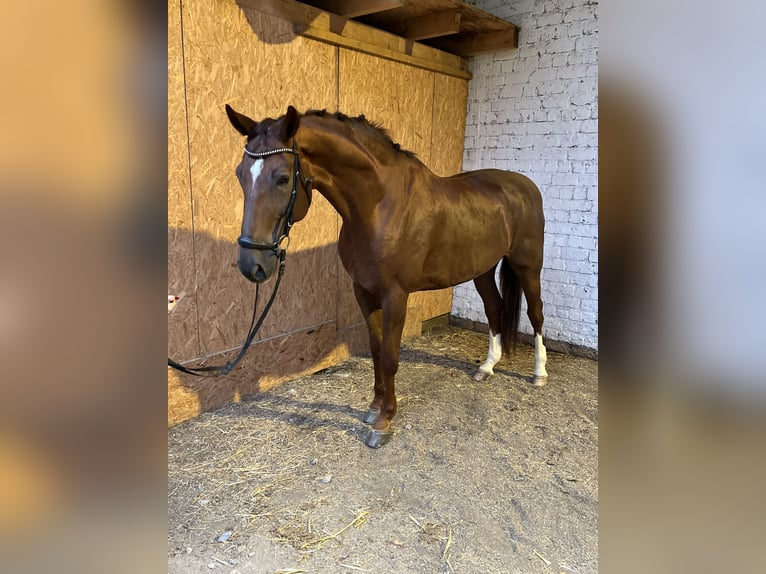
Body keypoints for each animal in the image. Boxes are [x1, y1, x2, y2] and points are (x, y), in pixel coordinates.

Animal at [225, 107, 548, 450]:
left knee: (536, 313)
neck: (379, 207)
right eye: (240, 175)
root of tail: (524, 184)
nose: (251, 264)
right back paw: (486, 367)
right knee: (494, 308)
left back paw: (539, 373)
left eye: (282, 178)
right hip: (482, 268)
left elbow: (391, 356)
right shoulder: (363, 291)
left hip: (528, 265)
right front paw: (373, 408)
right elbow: (376, 350)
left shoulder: (396, 295)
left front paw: (384, 422)